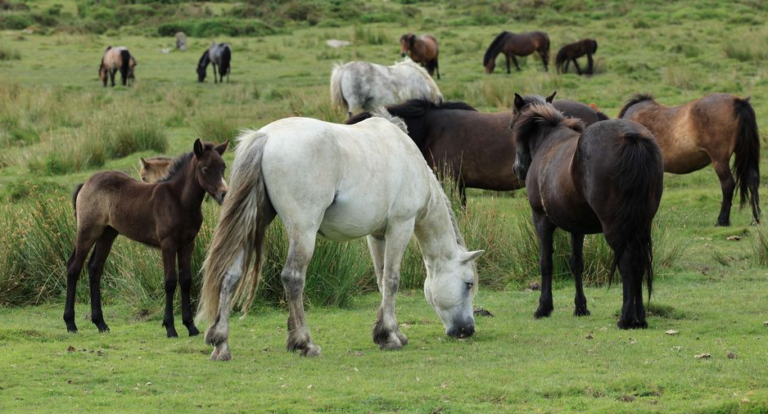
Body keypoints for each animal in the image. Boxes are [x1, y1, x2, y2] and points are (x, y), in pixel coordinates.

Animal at [63, 140, 229, 337]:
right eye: (205, 169)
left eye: (223, 166)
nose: (224, 194)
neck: (178, 200)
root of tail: (86, 183)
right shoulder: (168, 244)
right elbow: (170, 281)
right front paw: (170, 327)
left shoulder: (188, 243)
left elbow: (186, 280)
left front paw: (191, 326)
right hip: (88, 231)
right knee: (74, 267)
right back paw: (71, 324)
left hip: (107, 234)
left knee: (95, 268)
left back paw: (101, 323)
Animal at [196, 111, 483, 361]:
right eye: (468, 284)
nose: (467, 330)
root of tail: (265, 136)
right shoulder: (400, 227)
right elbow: (392, 280)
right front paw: (391, 336)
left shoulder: (377, 236)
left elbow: (381, 280)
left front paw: (388, 332)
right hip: (303, 231)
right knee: (293, 277)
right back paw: (305, 342)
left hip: (254, 221)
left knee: (230, 275)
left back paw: (221, 344)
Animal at [511, 93, 664, 329]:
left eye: (513, 126)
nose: (517, 169)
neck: (548, 142)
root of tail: (631, 136)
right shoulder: (577, 227)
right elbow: (577, 263)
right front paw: (580, 307)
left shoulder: (541, 219)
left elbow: (546, 262)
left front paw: (543, 308)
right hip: (641, 225)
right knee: (639, 263)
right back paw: (640, 317)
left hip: (616, 228)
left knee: (628, 264)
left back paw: (627, 318)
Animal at [619, 93, 760, 226]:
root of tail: (738, 102)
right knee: (752, 180)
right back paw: (755, 219)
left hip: (720, 160)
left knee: (728, 185)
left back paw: (722, 220)